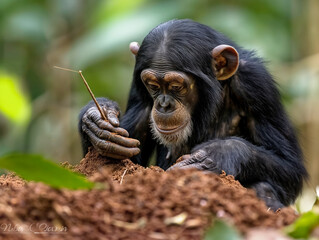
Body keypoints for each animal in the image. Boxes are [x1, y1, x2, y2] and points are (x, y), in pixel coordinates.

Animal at [79, 19, 308, 210]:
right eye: (152, 85)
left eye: (176, 86)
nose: (163, 104)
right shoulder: (138, 90)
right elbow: (128, 161)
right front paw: (97, 121)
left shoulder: (257, 85)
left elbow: (290, 166)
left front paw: (217, 155)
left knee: (264, 186)